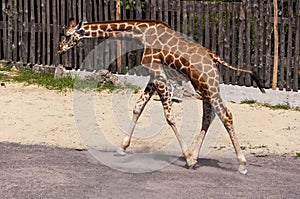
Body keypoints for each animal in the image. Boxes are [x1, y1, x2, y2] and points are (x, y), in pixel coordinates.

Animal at [56, 18, 264, 174]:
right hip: (203, 86)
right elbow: (138, 107)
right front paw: (122, 148)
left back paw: (241, 164)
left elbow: (169, 116)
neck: (141, 33)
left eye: (67, 35)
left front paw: (187, 158)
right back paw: (197, 157)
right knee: (209, 115)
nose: (59, 50)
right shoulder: (153, 75)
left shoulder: (158, 73)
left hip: (209, 85)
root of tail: (214, 58)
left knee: (225, 114)